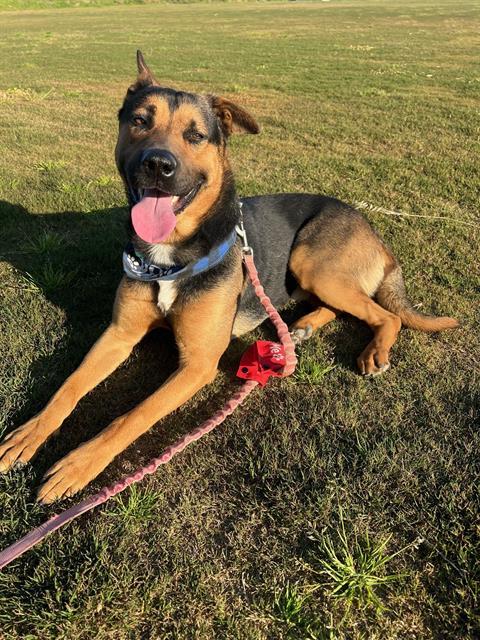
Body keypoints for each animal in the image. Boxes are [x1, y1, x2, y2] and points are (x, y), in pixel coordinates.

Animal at [0, 52, 458, 502]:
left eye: (196, 135)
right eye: (140, 120)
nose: (158, 165)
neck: (172, 253)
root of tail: (369, 226)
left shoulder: (198, 364)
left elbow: (131, 416)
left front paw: (78, 464)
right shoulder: (118, 333)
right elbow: (68, 387)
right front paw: (29, 433)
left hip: (312, 263)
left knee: (386, 314)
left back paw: (373, 350)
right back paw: (305, 326)